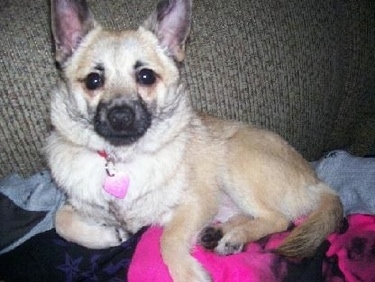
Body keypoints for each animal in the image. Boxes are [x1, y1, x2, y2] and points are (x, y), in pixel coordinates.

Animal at [46, 1, 344, 280]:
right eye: (93, 80)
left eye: (146, 76)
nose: (120, 116)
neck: (122, 159)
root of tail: (317, 183)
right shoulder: (78, 205)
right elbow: (60, 220)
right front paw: (105, 236)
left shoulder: (195, 204)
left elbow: (168, 238)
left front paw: (188, 273)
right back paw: (222, 232)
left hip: (235, 159)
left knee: (280, 219)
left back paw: (234, 237)